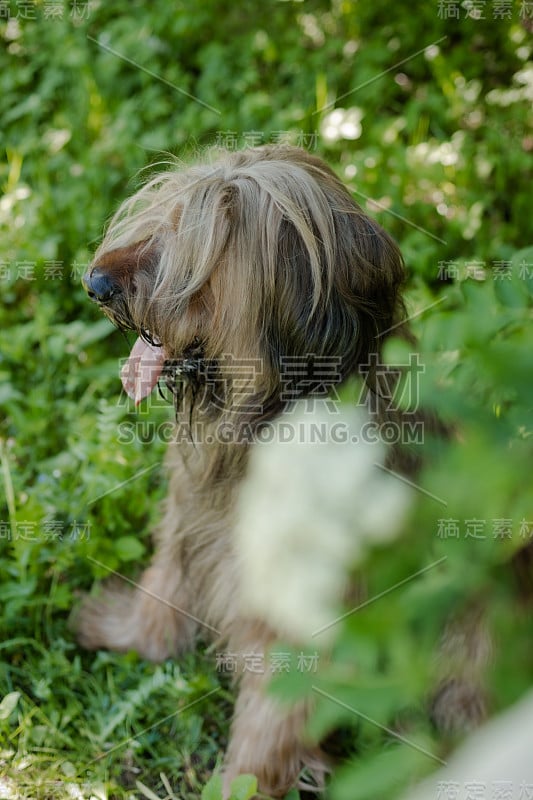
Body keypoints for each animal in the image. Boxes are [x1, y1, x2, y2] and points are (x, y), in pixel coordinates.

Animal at [78, 147, 420, 796]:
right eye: (163, 216)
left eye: (203, 253)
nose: (95, 283)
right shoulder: (190, 513)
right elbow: (164, 581)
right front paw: (128, 633)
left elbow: (274, 713)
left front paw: (246, 781)